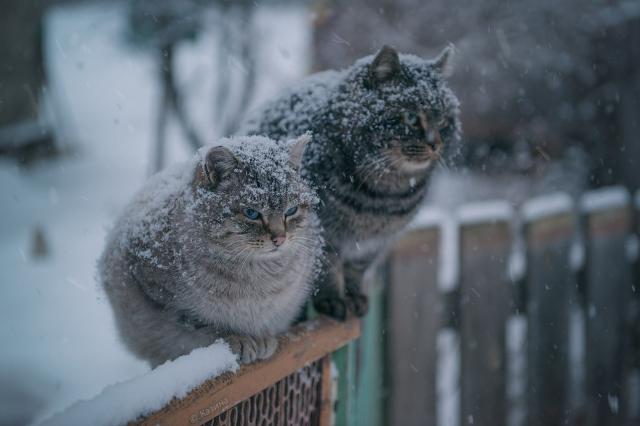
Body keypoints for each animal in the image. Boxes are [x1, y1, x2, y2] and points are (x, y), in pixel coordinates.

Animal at [99, 134, 320, 366]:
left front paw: (262, 338)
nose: (280, 239)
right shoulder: (164, 298)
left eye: (291, 210)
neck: (257, 275)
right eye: (251, 213)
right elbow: (206, 326)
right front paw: (240, 339)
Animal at [244, 46, 460, 320]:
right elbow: (328, 269)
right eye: (411, 117)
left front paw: (354, 297)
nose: (435, 144)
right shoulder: (324, 234)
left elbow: (356, 270)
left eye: (443, 121)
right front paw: (334, 300)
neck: (384, 197)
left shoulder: (374, 244)